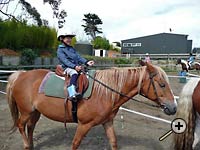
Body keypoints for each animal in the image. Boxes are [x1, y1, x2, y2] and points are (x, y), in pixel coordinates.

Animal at [5, 62, 176, 150]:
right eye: (162, 84)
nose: (173, 107)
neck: (105, 91)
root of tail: (21, 75)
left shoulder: (107, 122)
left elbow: (114, 142)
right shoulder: (84, 125)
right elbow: (75, 144)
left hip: (35, 112)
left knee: (30, 127)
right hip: (26, 112)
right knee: (21, 125)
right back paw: (26, 145)